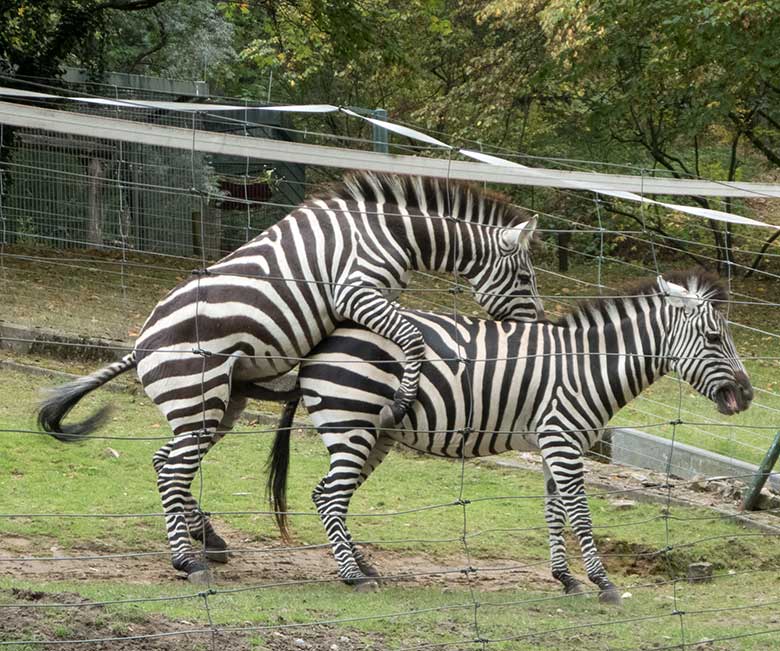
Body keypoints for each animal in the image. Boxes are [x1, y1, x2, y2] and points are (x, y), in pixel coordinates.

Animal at [36, 169, 544, 580]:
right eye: (525, 278)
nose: (537, 325)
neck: (393, 232)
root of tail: (141, 342)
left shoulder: (364, 305)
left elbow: (397, 337)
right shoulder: (354, 293)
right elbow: (412, 337)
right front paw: (403, 396)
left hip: (218, 404)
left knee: (168, 461)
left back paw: (208, 538)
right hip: (197, 396)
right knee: (174, 469)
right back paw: (186, 560)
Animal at [268, 272, 748, 608]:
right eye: (713, 337)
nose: (747, 394)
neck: (587, 367)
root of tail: (322, 340)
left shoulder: (555, 444)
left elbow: (554, 512)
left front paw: (566, 579)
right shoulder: (563, 440)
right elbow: (579, 514)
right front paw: (603, 583)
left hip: (375, 433)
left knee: (330, 495)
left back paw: (363, 565)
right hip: (352, 421)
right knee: (330, 495)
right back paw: (353, 576)